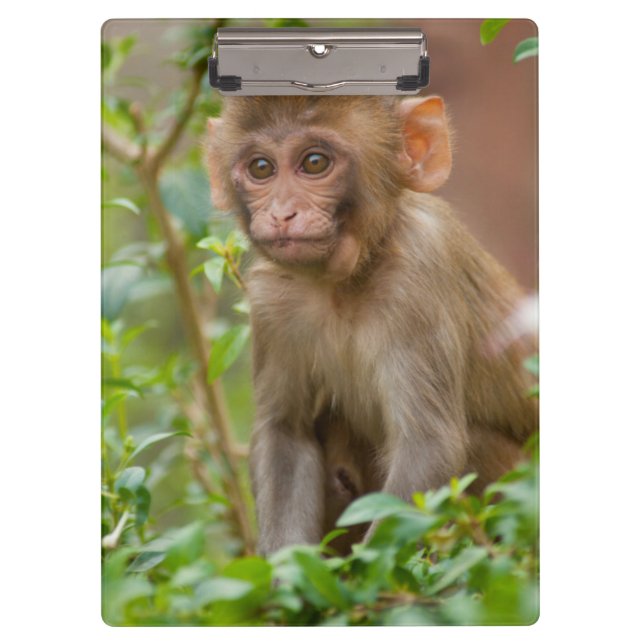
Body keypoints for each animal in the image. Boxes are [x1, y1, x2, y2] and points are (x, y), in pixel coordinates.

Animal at [205, 95, 538, 555]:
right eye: (261, 168)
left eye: (314, 163)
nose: (282, 214)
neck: (345, 281)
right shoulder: (271, 300)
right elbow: (285, 434)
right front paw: (288, 574)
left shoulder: (419, 272)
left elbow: (429, 448)